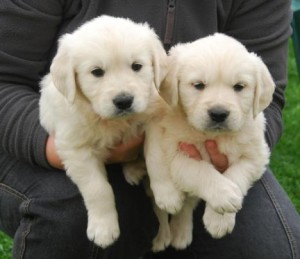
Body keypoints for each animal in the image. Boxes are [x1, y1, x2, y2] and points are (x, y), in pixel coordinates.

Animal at [38, 15, 166, 249]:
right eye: (97, 72)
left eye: (137, 66)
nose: (124, 101)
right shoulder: (76, 149)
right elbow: (98, 188)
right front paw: (104, 229)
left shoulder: (155, 119)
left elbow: (156, 157)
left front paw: (166, 193)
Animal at [144, 33, 276, 250]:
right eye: (199, 85)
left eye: (239, 87)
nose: (219, 113)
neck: (213, 136)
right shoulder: (176, 155)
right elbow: (201, 172)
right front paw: (224, 195)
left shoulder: (257, 156)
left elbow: (236, 175)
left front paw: (219, 219)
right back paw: (164, 236)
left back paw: (180, 232)